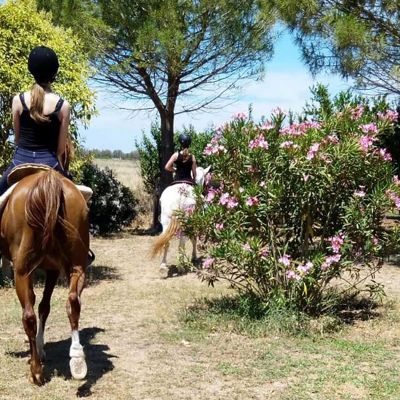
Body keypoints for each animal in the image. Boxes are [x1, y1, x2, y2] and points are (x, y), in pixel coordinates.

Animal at [0, 168, 89, 384]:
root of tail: (49, 181)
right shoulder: (53, 269)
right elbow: (44, 306)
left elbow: (35, 305)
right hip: (76, 266)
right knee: (73, 301)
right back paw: (77, 361)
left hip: (22, 272)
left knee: (28, 316)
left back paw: (36, 370)